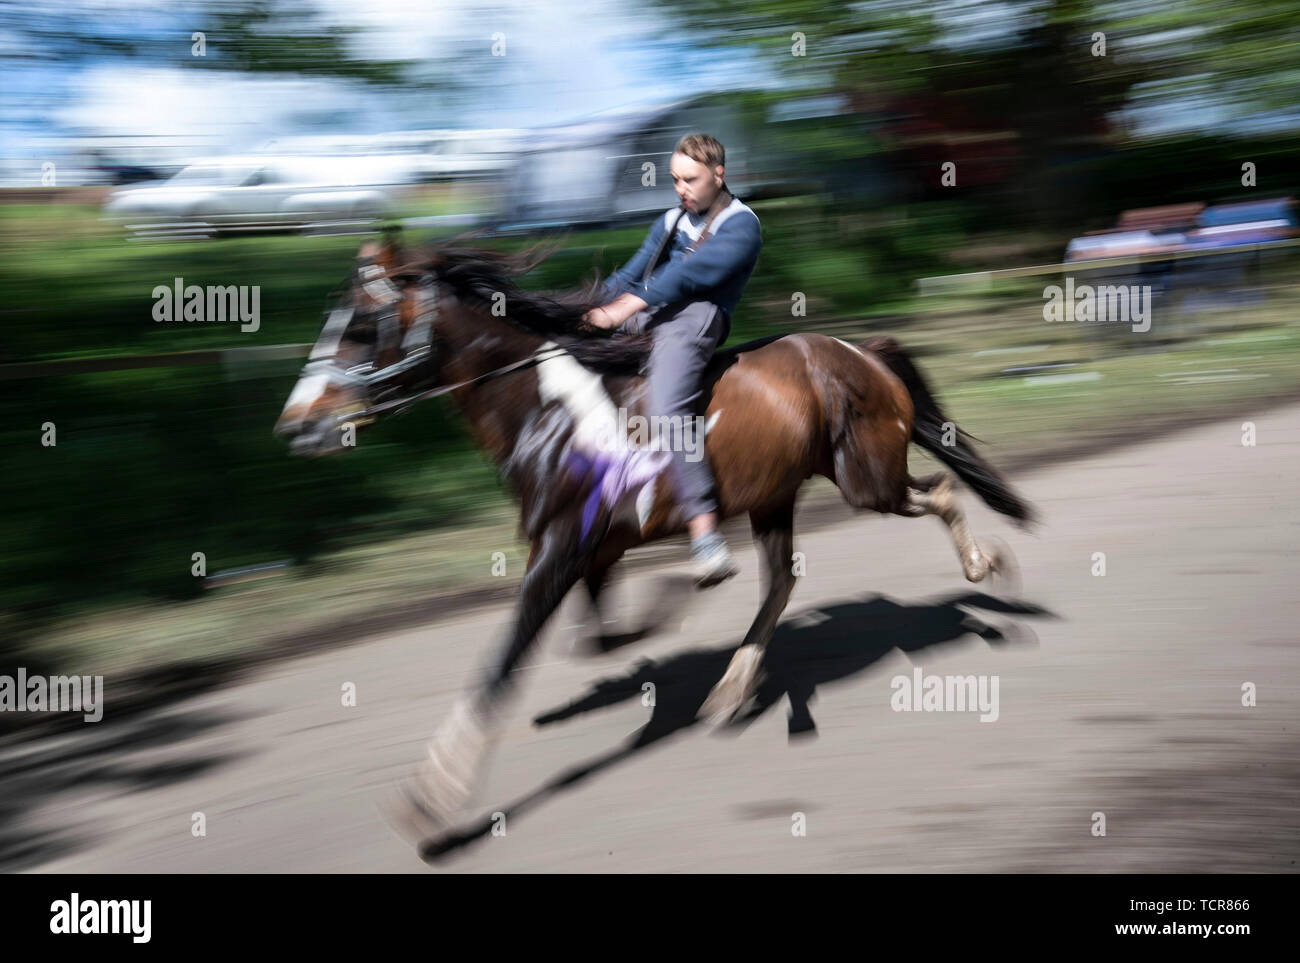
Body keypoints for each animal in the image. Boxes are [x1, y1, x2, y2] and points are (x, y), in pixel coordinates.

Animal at [274, 235, 1034, 857]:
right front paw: (665, 618)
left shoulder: (558, 554)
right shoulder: (586, 553)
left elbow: (500, 667)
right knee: (783, 579)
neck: (545, 412)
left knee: (940, 490)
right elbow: (599, 640)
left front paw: (432, 801)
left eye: (360, 324)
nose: (295, 428)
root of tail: (859, 352)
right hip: (776, 494)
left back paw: (982, 568)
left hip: (863, 479)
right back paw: (732, 687)